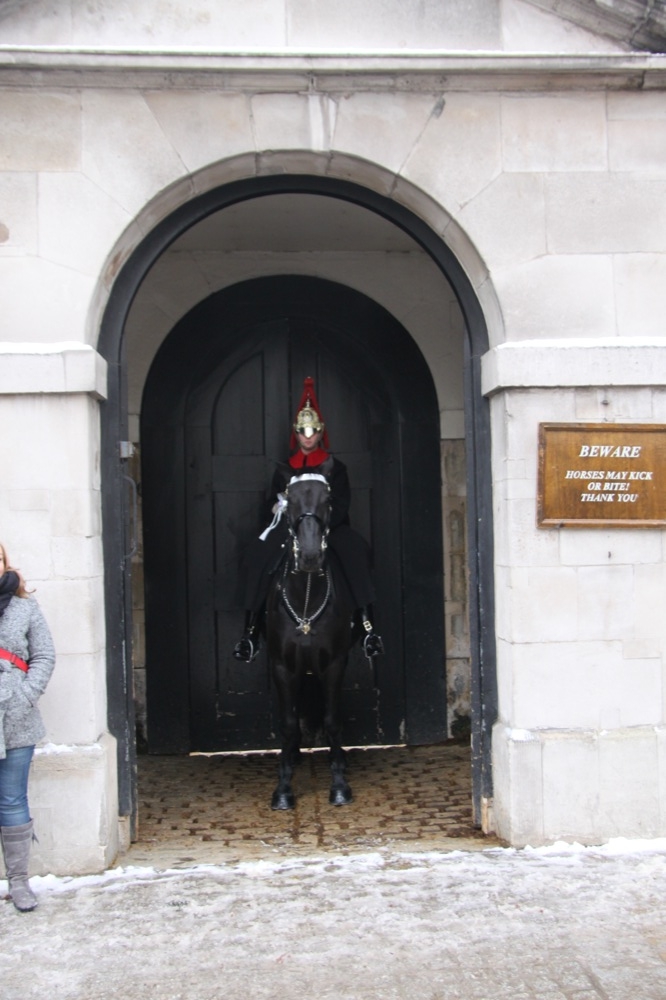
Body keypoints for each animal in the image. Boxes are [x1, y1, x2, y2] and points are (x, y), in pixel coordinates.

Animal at [268, 460, 356, 812]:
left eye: (327, 500)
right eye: (289, 500)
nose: (308, 557)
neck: (306, 592)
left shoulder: (335, 664)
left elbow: (332, 721)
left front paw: (340, 786)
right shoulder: (282, 666)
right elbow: (288, 725)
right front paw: (282, 789)